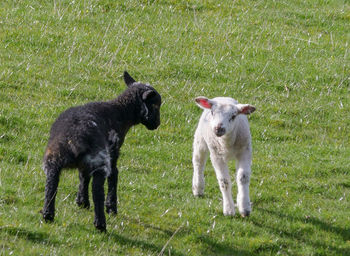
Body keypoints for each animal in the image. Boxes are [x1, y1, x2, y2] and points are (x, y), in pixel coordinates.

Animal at [41, 71, 162, 231]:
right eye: (156, 105)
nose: (157, 124)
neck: (121, 113)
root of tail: (75, 137)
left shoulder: (85, 164)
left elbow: (83, 177)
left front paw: (82, 202)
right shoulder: (113, 152)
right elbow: (114, 175)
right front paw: (111, 208)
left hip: (54, 158)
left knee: (51, 185)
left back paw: (48, 215)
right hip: (100, 160)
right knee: (97, 190)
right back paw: (101, 224)